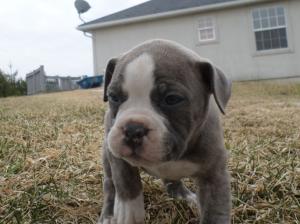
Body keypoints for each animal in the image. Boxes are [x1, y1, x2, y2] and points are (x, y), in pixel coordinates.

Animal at [98, 39, 232, 224]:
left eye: (172, 99)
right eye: (113, 97)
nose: (132, 129)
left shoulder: (214, 176)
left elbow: (214, 213)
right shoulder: (117, 156)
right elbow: (126, 181)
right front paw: (129, 212)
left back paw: (183, 196)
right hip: (107, 154)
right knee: (110, 184)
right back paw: (108, 214)